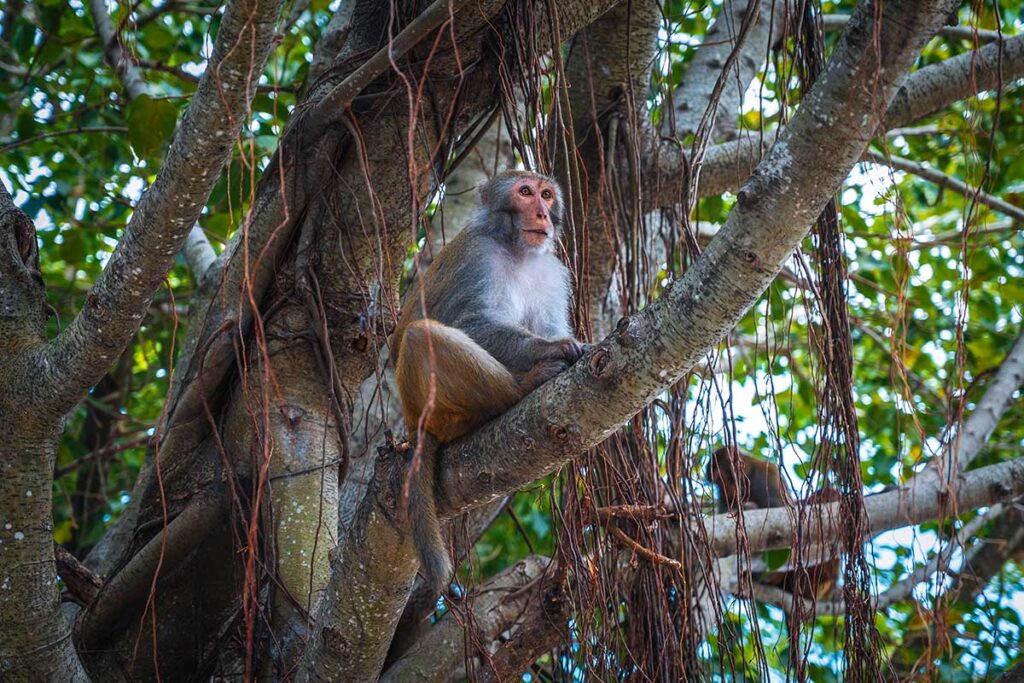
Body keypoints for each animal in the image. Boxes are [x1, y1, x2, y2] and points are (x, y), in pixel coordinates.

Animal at [392, 169, 589, 591]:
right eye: (525, 192)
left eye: (547, 195)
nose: (542, 212)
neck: (517, 251)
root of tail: (413, 425)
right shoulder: (477, 259)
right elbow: (472, 323)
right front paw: (556, 347)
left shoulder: (552, 273)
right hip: (433, 407)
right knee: (419, 337)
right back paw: (518, 390)